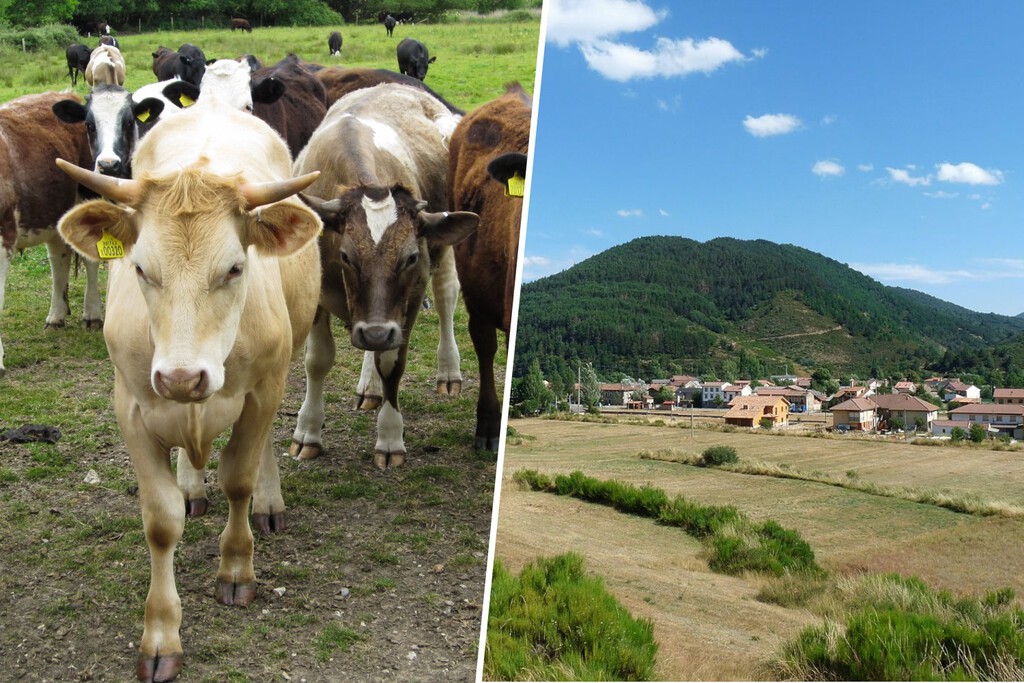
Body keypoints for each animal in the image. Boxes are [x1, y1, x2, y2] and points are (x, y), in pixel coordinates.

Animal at [55, 94, 322, 682]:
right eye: (139, 269)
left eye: (236, 268)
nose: (182, 377)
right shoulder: (131, 406)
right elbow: (161, 522)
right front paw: (160, 636)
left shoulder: (262, 389)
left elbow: (239, 479)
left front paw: (236, 569)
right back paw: (192, 485)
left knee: (260, 451)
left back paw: (268, 500)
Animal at [289, 84, 479, 468]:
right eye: (346, 255)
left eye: (410, 257)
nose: (376, 331)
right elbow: (317, 361)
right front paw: (307, 432)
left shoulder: (409, 297)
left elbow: (392, 362)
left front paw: (390, 438)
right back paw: (370, 386)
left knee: (446, 298)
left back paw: (448, 371)